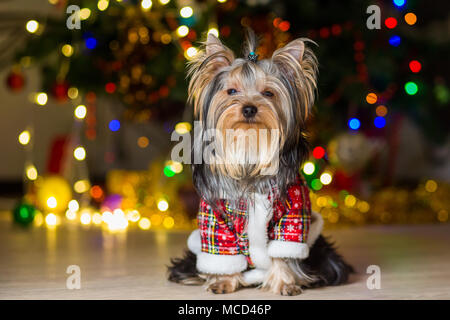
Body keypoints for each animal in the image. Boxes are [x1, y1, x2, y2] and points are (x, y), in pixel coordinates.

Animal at [167, 29, 354, 296]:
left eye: (268, 93)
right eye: (231, 91)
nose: (249, 108)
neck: (249, 149)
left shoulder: (293, 214)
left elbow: (283, 251)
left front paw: (285, 283)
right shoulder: (216, 218)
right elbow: (222, 251)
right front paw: (224, 282)